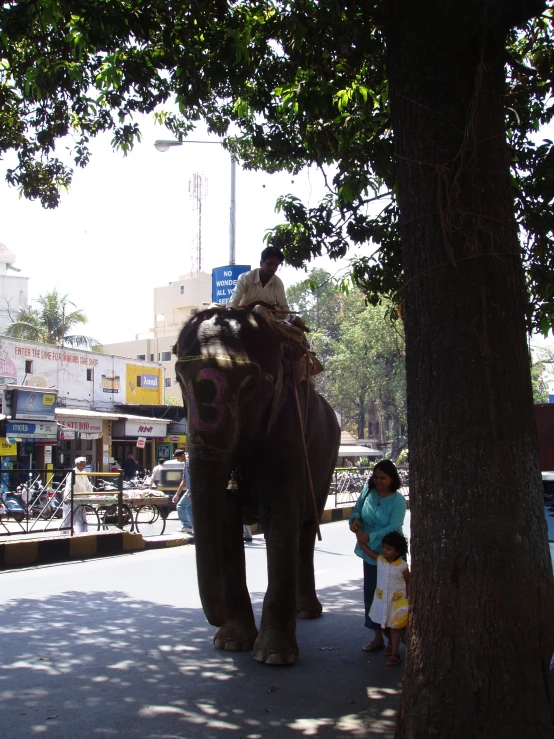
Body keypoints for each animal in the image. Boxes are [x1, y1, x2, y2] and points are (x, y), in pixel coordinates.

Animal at [176, 306, 340, 664]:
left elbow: (280, 518)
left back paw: (307, 612)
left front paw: (273, 657)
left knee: (307, 527)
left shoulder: (288, 431)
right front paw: (230, 643)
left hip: (326, 461)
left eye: (249, 387)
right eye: (179, 381)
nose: (215, 620)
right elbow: (225, 521)